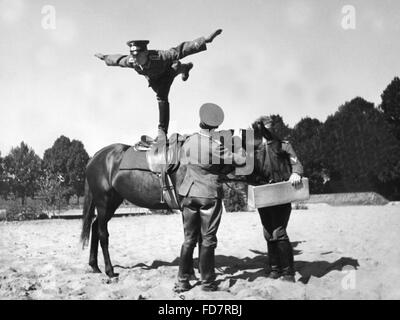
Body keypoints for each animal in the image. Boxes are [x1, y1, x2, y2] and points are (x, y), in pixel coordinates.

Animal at [79, 124, 266, 278]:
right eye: (252, 152)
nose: (264, 177)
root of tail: (95, 157)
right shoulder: (188, 207)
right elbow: (191, 236)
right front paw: (190, 273)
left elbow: (196, 237)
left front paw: (195, 271)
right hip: (104, 202)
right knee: (102, 233)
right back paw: (109, 271)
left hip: (112, 203)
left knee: (95, 227)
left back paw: (95, 266)